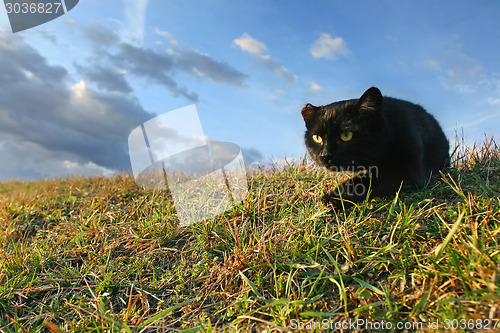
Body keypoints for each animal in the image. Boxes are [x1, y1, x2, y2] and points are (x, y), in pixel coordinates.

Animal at [302, 86, 452, 205]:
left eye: (346, 135)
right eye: (317, 138)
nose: (325, 154)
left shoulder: (407, 173)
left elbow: (363, 184)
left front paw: (332, 199)